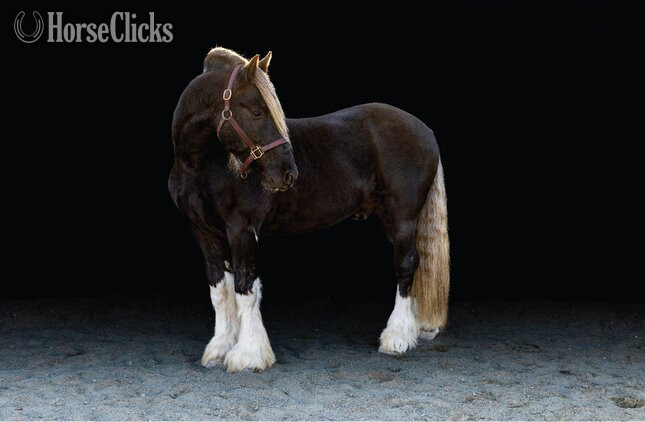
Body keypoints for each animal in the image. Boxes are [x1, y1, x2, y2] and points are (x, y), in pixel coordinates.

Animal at [169, 47, 449, 372]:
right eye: (257, 112)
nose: (288, 173)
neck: (200, 167)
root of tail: (424, 129)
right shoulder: (204, 232)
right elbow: (220, 289)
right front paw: (219, 349)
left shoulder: (241, 229)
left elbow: (245, 286)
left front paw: (248, 354)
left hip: (403, 216)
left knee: (406, 265)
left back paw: (397, 337)